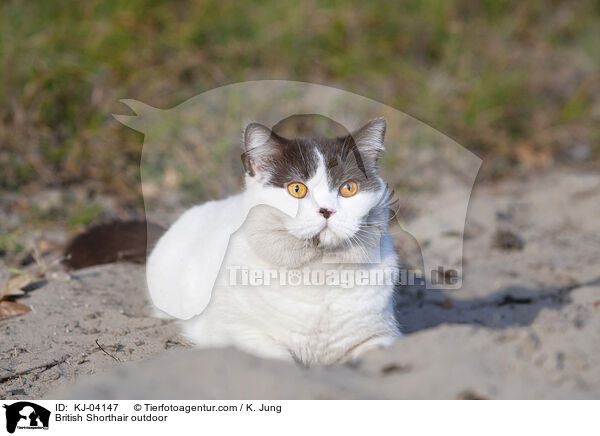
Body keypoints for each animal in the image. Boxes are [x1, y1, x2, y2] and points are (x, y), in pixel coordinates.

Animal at [146, 117, 400, 366]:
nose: (326, 210)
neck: (319, 271)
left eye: (348, 188)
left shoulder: (380, 336)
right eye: (296, 189)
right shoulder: (239, 332)